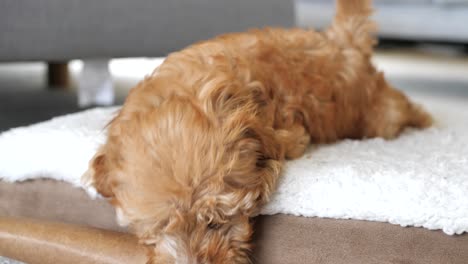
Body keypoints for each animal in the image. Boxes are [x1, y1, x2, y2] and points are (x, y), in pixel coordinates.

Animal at [83, 1, 432, 262]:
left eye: (216, 221)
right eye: (158, 230)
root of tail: (341, 42)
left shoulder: (290, 134)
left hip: (377, 115)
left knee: (400, 108)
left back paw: (426, 119)